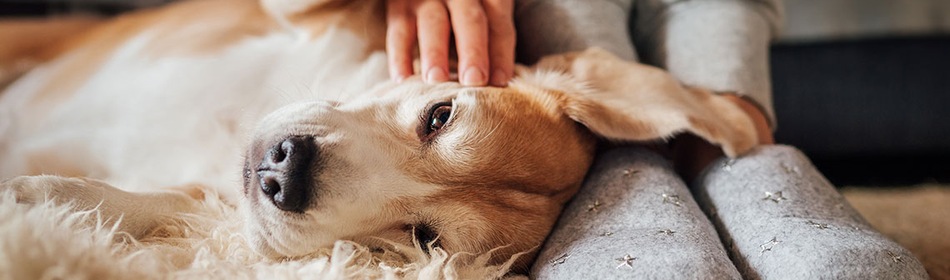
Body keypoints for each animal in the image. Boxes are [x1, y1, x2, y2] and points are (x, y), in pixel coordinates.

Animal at [0, 0, 760, 272]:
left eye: (423, 238)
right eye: (440, 115)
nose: (283, 172)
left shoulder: (211, 200)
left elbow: (169, 204)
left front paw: (41, 201)